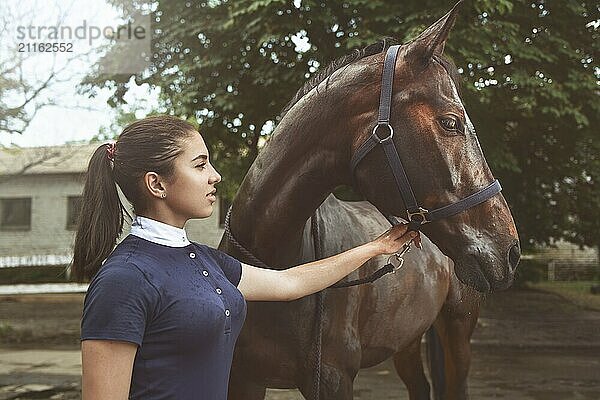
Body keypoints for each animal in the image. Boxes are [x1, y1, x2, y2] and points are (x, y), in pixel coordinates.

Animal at [220, 3, 520, 400]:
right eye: (451, 122)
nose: (510, 251)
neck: (276, 269)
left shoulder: (332, 379)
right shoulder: (243, 377)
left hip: (457, 334)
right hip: (406, 340)